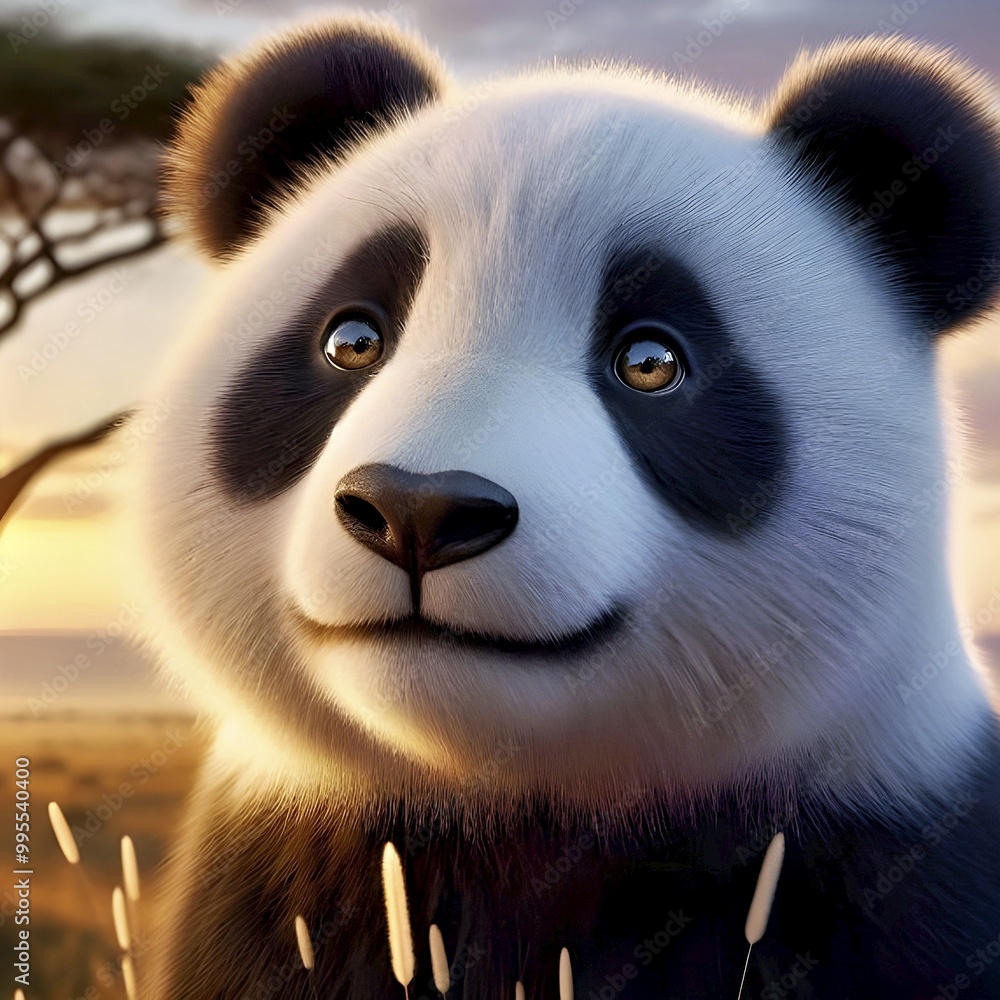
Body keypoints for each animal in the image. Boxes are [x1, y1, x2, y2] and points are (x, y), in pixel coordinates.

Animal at [129, 15, 1000, 1000]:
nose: (417, 510)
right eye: (352, 339)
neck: (518, 803)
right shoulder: (285, 874)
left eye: (650, 362)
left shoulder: (889, 855)